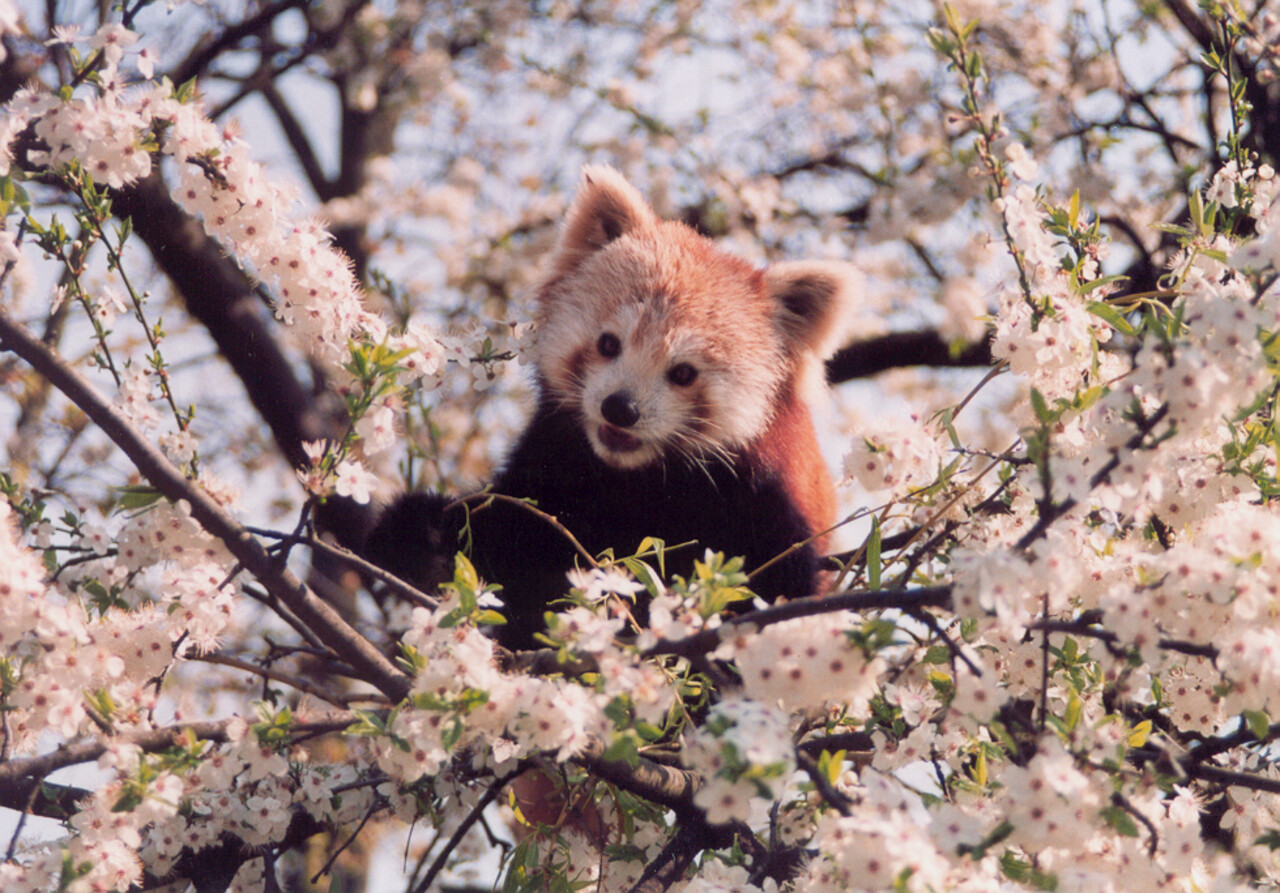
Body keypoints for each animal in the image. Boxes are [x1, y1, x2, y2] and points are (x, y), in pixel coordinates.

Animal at [363, 163, 860, 642]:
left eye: (683, 373)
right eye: (608, 344)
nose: (621, 409)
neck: (633, 481)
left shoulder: (765, 502)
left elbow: (772, 590)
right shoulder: (554, 458)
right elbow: (508, 528)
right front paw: (420, 537)